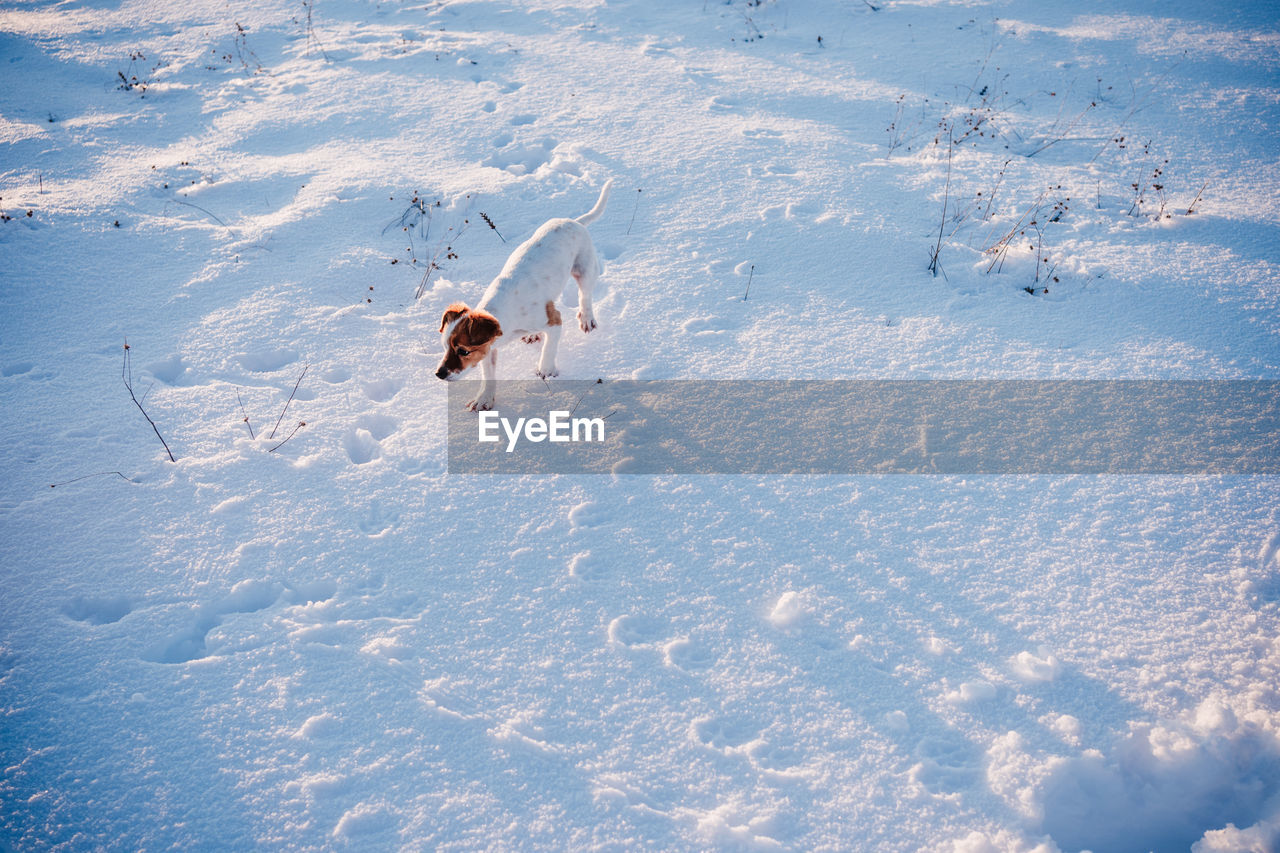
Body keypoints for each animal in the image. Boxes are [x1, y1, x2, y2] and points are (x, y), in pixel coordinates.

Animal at [435, 179, 609, 409]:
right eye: (445, 346)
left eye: (463, 351)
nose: (439, 374)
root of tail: (574, 221)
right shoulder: (489, 349)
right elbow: (489, 375)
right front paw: (484, 398)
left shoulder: (554, 320)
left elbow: (549, 347)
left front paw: (546, 369)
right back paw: (532, 334)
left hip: (585, 269)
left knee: (585, 296)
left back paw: (587, 318)